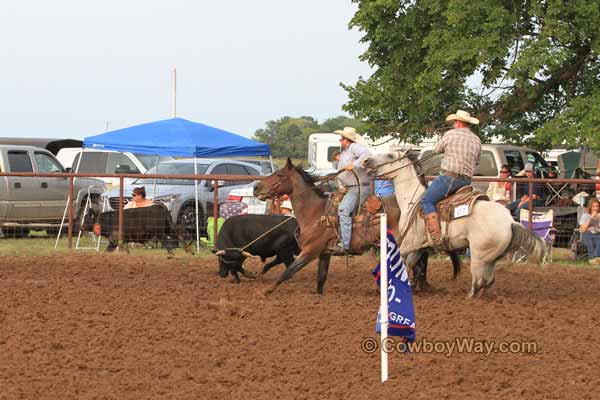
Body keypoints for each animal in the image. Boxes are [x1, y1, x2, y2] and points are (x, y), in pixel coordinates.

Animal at [360, 148, 548, 296]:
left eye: (390, 155)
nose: (366, 160)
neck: (411, 201)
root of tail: (510, 222)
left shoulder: (408, 243)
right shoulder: (418, 247)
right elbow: (410, 266)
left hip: (478, 256)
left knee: (478, 282)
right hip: (491, 258)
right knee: (488, 281)